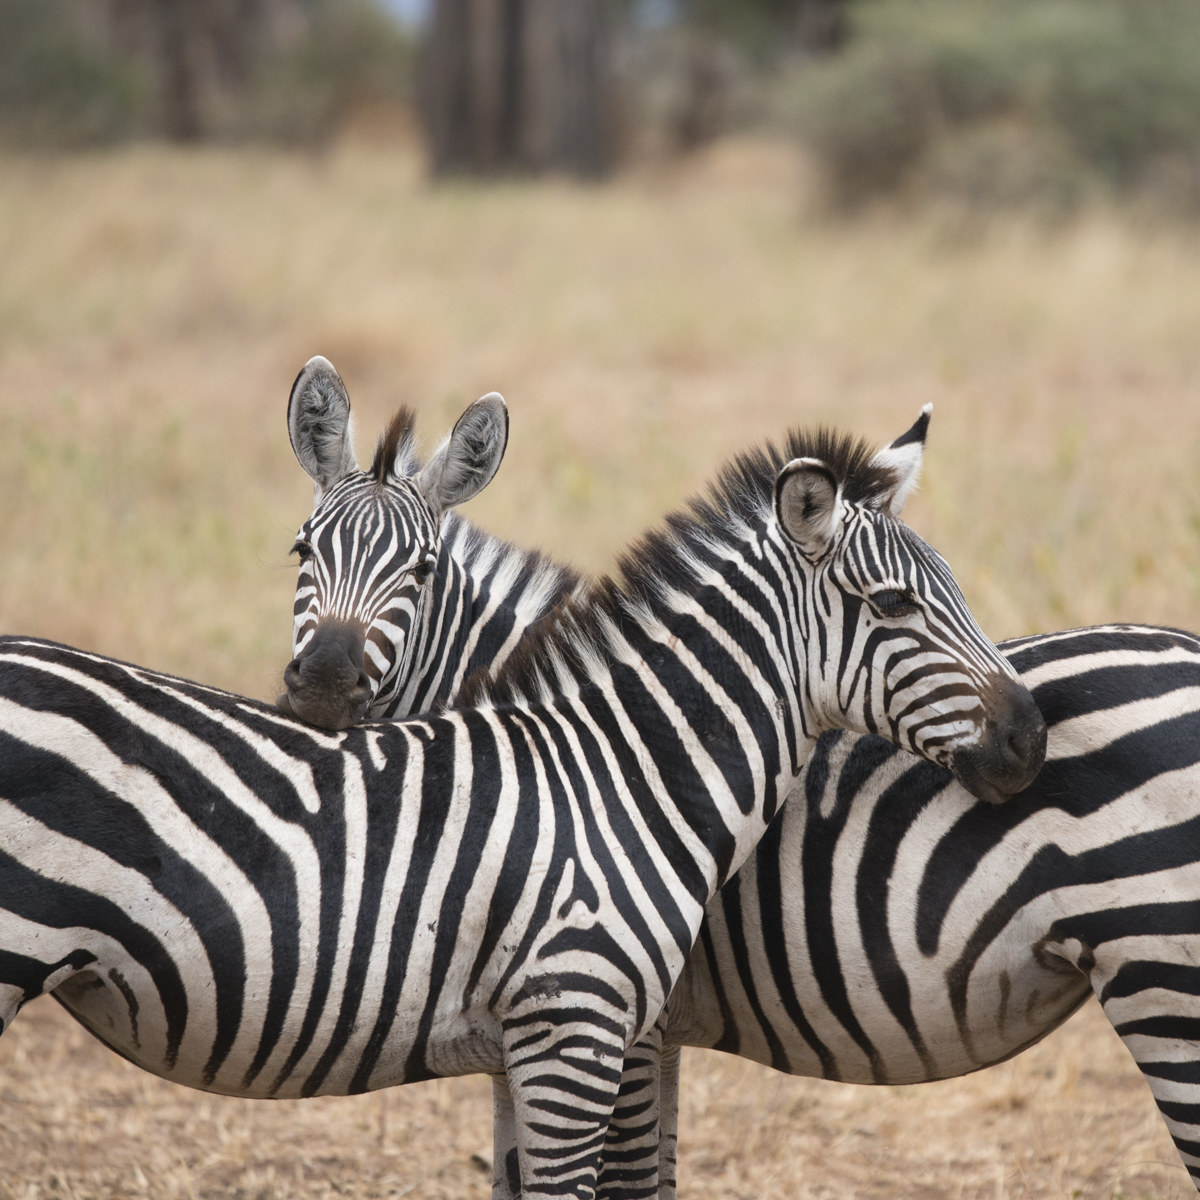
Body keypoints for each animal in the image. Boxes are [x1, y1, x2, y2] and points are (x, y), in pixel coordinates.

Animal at [280, 391, 1200, 1194]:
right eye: (302, 552)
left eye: (421, 569)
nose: (323, 684)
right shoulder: (558, 1020)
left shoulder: (620, 1022)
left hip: (1164, 976)